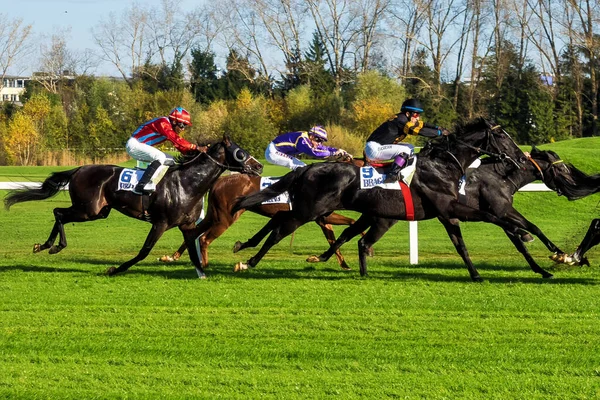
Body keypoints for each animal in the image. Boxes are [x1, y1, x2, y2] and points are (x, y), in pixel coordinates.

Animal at [4, 136, 262, 276]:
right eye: (240, 152)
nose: (259, 166)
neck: (187, 183)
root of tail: (79, 169)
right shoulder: (160, 223)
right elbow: (144, 251)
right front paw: (115, 269)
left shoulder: (186, 225)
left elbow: (193, 249)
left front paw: (201, 274)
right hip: (88, 209)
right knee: (58, 212)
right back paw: (53, 246)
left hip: (97, 212)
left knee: (60, 214)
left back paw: (46, 245)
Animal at [232, 119, 528, 282]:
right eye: (502, 136)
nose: (521, 157)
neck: (442, 165)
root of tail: (307, 168)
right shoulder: (447, 207)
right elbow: (489, 217)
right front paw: (520, 232)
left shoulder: (445, 213)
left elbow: (463, 245)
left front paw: (477, 273)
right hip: (309, 210)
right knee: (279, 230)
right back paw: (249, 261)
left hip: (316, 209)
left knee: (284, 220)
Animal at [312, 148, 592, 282]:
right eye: (563, 169)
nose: (574, 187)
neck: (500, 175)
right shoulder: (501, 209)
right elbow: (530, 229)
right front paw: (561, 256)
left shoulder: (497, 213)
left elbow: (523, 237)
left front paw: (546, 265)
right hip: (382, 218)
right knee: (354, 234)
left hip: (375, 215)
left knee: (349, 233)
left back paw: (325, 257)